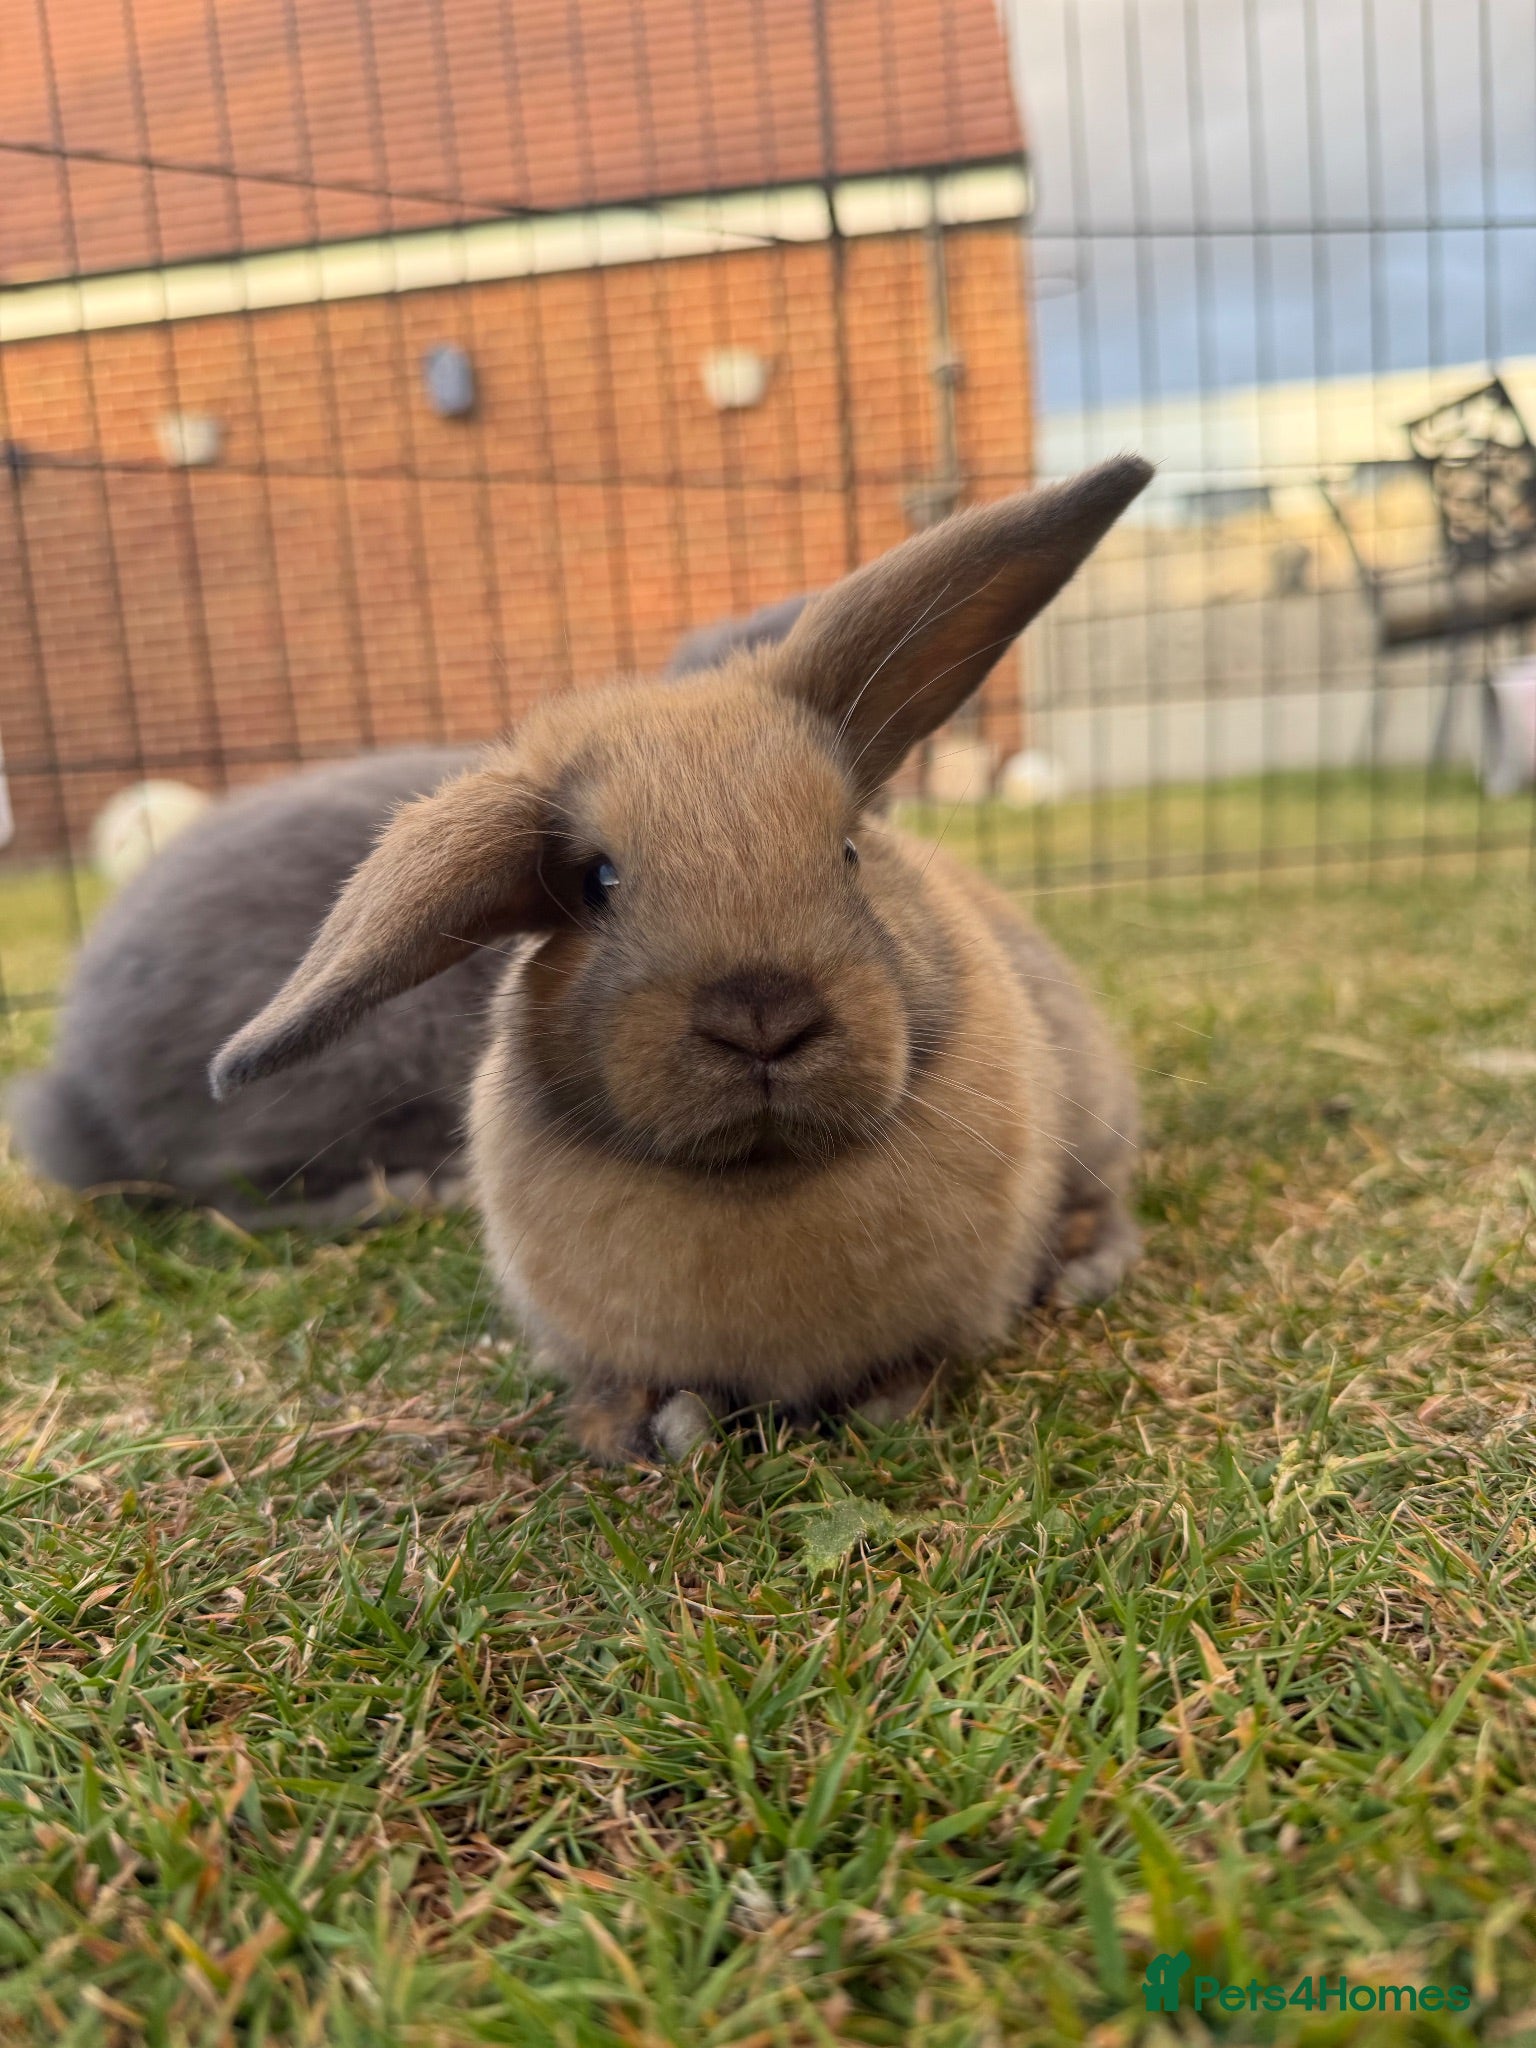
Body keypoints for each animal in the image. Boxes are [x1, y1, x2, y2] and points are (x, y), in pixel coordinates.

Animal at [209, 456, 1152, 1460]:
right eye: (597, 882)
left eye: (849, 851)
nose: (762, 1015)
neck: (758, 1178)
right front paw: (659, 1428)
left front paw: (887, 1407)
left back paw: (1082, 1270)